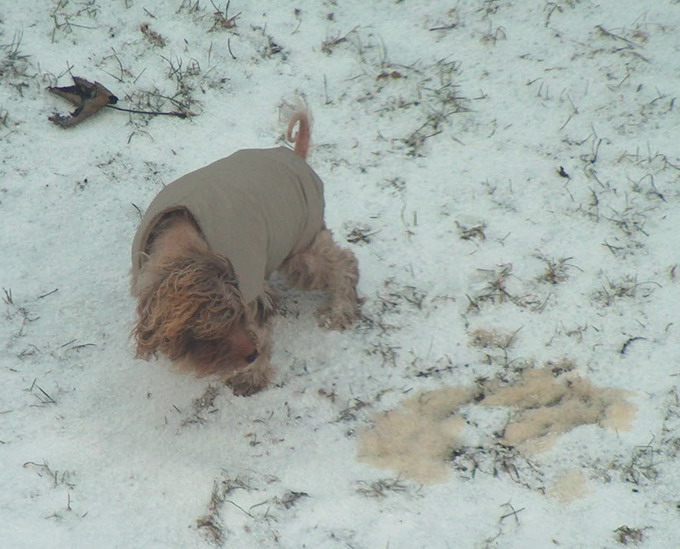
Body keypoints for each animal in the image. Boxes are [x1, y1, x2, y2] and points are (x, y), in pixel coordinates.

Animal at [129, 110, 362, 394]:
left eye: (239, 317)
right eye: (210, 333)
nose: (251, 355)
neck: (186, 248)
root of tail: (296, 156)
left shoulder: (248, 289)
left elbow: (260, 329)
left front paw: (252, 375)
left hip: (300, 246)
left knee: (344, 263)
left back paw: (340, 311)